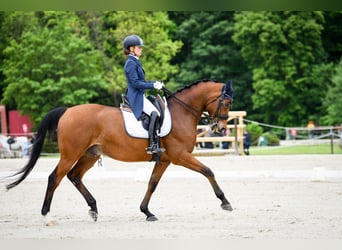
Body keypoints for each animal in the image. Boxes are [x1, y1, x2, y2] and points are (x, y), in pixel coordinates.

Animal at [6, 80, 234, 225]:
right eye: (226, 102)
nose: (221, 128)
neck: (181, 113)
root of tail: (67, 111)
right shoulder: (180, 157)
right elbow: (208, 171)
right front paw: (225, 202)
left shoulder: (165, 160)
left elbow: (152, 183)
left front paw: (147, 212)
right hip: (71, 154)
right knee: (55, 178)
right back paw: (47, 216)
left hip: (90, 154)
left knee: (74, 176)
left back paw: (93, 209)